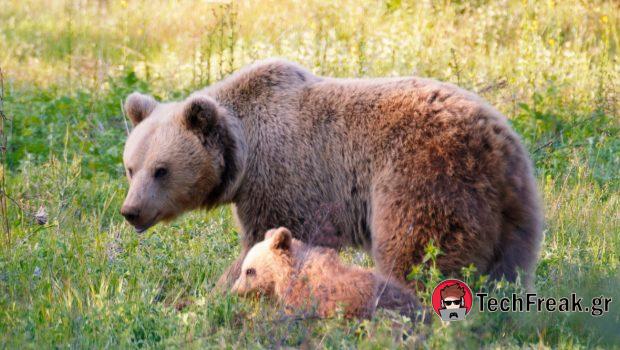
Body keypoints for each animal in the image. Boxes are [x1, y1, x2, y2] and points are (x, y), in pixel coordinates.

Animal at [120, 58, 544, 290]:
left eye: (161, 170)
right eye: (130, 168)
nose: (131, 211)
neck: (244, 152)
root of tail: (494, 144)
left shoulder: (283, 178)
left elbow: (266, 239)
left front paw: (220, 292)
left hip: (424, 176)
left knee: (418, 254)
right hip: (513, 210)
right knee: (508, 269)